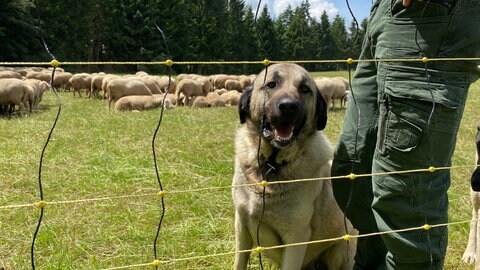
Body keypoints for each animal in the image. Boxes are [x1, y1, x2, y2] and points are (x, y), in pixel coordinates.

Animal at [232, 63, 356, 270]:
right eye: (271, 84)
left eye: (305, 89)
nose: (288, 106)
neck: (270, 167)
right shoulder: (242, 229)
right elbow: (239, 263)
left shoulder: (295, 239)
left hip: (342, 250)